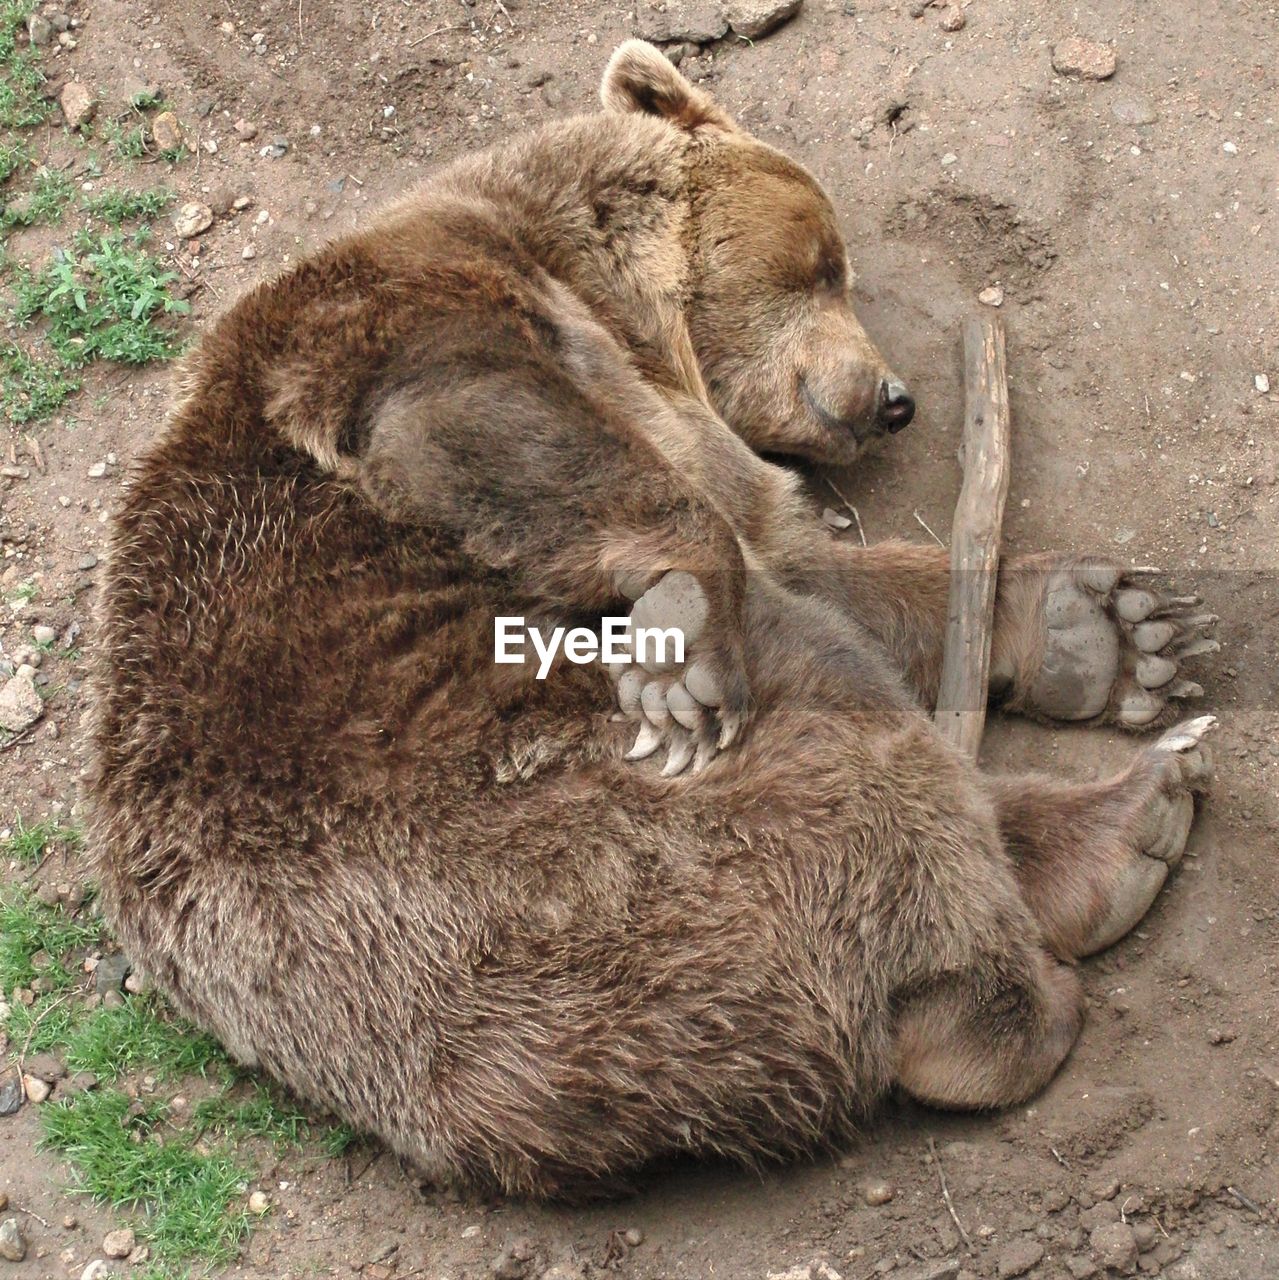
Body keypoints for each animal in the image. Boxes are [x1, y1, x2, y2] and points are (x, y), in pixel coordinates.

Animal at [90, 42, 1218, 1198]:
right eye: (825, 263)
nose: (894, 397)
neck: (620, 307)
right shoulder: (396, 319)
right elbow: (473, 417)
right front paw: (685, 629)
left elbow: (811, 560)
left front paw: (1109, 626)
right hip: (546, 851)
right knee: (857, 749)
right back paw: (1025, 961)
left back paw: (1136, 812)